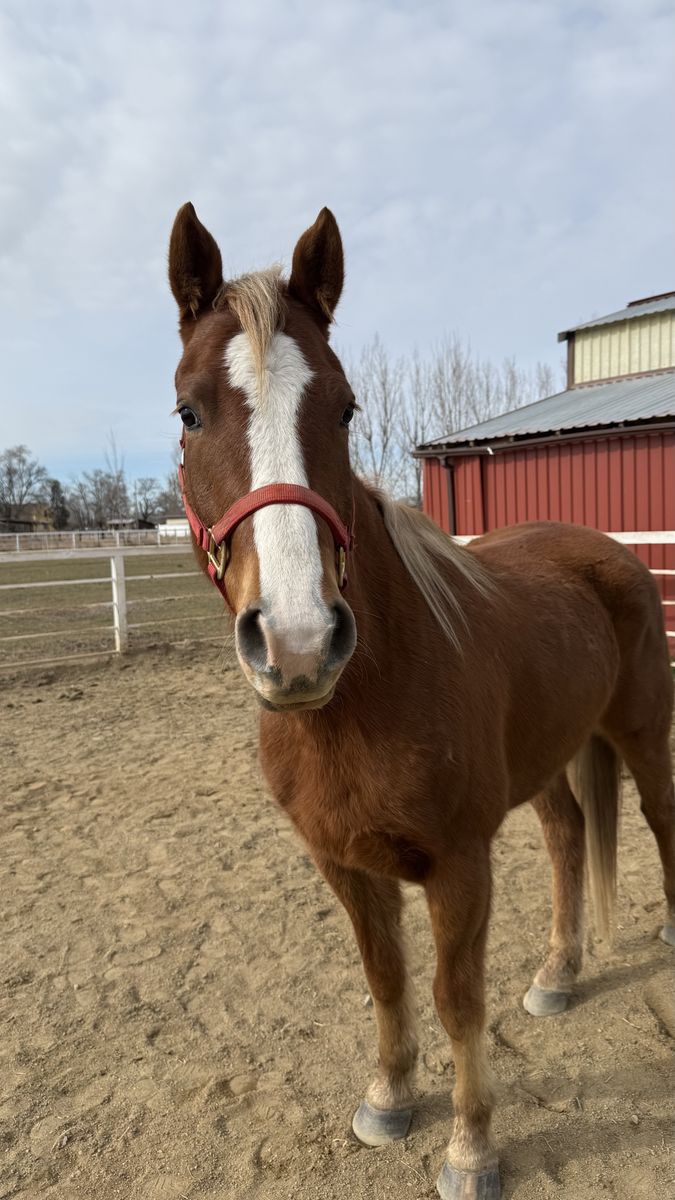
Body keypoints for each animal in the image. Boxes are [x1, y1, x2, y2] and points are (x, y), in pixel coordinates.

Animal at [167, 203, 675, 1199]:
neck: (361, 703)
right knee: (567, 839)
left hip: (643, 737)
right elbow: (387, 980)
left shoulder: (457, 866)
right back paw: (558, 974)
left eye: (345, 407)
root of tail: (611, 552)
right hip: (552, 760)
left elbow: (454, 997)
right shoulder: (342, 864)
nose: (297, 641)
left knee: (663, 828)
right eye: (188, 411)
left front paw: (470, 1147)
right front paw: (389, 1098)